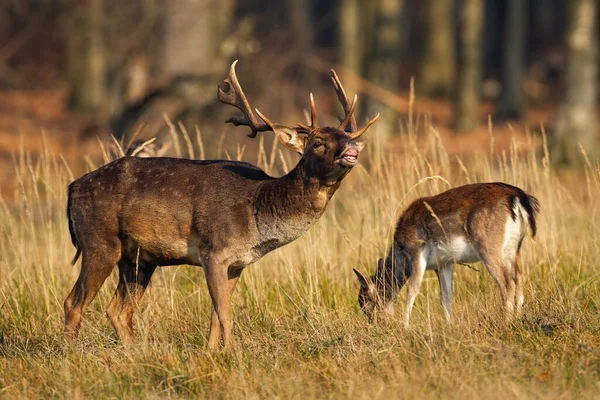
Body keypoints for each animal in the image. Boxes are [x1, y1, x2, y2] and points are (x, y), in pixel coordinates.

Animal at [65, 61, 380, 348]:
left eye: (346, 136)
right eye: (317, 143)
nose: (351, 149)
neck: (257, 211)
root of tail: (72, 188)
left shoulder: (238, 263)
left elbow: (216, 315)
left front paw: (212, 353)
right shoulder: (214, 251)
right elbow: (225, 314)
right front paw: (233, 355)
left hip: (139, 259)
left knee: (118, 310)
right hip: (100, 242)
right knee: (74, 303)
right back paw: (71, 354)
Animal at [354, 183, 540, 326]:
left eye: (367, 300)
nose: (377, 324)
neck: (401, 252)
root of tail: (518, 197)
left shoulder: (417, 251)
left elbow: (412, 290)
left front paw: (405, 327)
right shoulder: (443, 263)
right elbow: (446, 296)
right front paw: (449, 325)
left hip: (489, 247)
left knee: (507, 283)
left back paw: (506, 322)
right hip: (513, 248)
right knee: (519, 276)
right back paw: (517, 318)